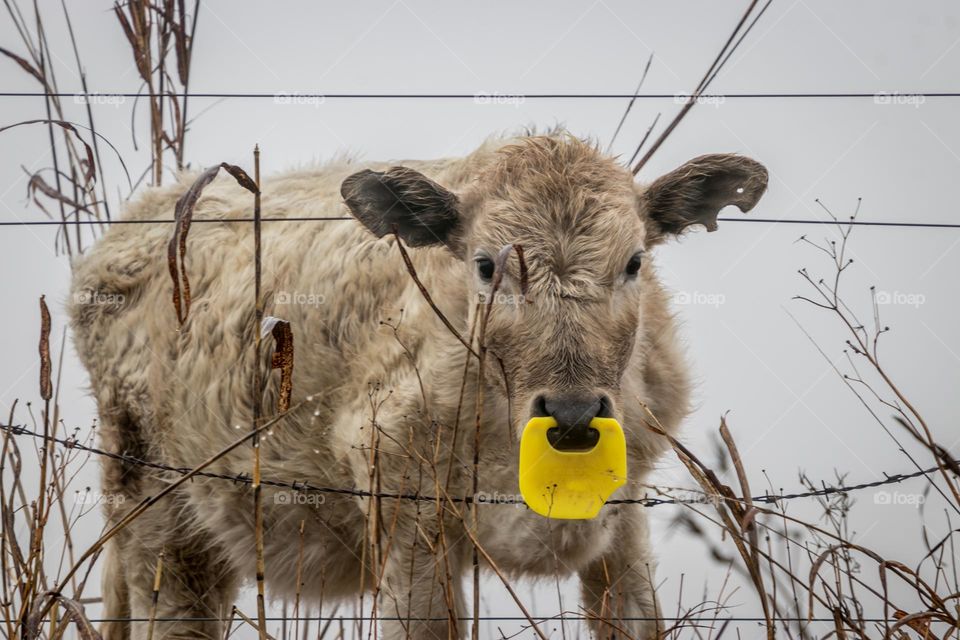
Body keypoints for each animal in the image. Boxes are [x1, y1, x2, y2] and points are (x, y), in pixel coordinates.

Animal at [69, 131, 764, 640]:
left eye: (634, 263)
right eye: (484, 266)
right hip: (157, 516)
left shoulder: (624, 519)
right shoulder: (407, 514)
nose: (571, 414)